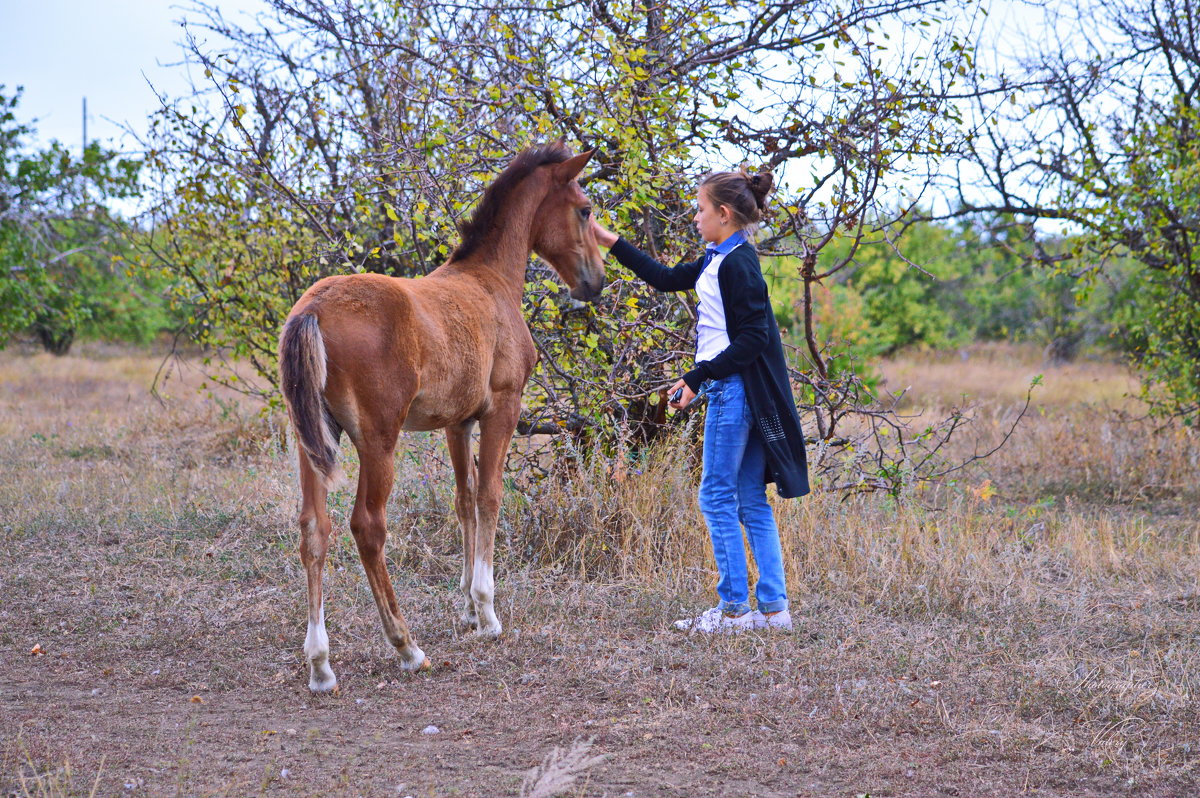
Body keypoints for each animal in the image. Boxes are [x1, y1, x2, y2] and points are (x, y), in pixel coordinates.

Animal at [277, 144, 604, 691]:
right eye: (584, 209)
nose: (595, 281)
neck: (490, 281)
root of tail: (313, 310)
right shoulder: (503, 409)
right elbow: (490, 496)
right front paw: (487, 613)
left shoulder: (458, 422)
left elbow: (464, 501)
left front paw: (468, 609)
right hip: (378, 442)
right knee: (367, 526)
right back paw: (406, 646)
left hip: (315, 442)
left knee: (313, 529)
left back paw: (320, 664)